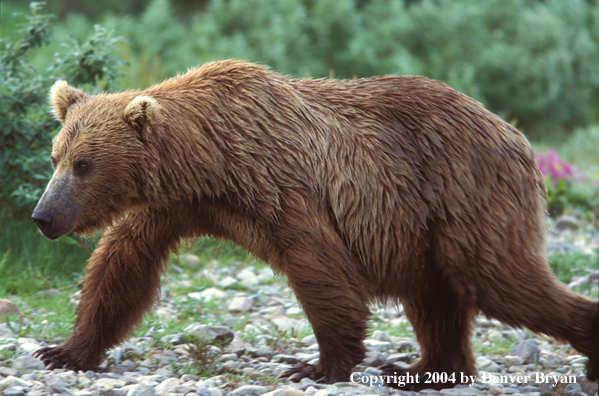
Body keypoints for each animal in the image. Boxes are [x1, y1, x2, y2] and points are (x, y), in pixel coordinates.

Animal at [34, 60, 599, 388]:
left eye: (85, 164)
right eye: (56, 157)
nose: (43, 216)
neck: (211, 163)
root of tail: (512, 131)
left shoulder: (282, 187)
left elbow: (320, 267)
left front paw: (318, 364)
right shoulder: (169, 207)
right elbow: (122, 266)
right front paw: (63, 351)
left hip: (462, 192)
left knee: (501, 280)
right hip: (420, 229)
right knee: (435, 297)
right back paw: (421, 368)